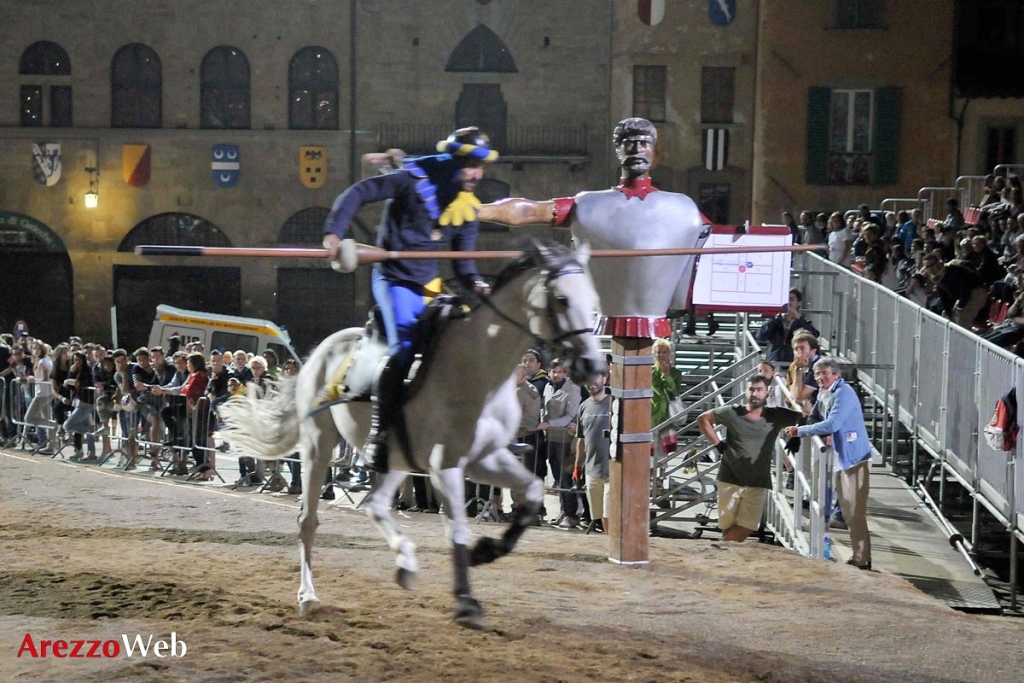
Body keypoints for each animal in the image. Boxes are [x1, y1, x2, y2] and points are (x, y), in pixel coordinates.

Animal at [216, 241, 598, 630]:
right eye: (563, 299)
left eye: (594, 301)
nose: (592, 366)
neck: (481, 366)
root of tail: (318, 352)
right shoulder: (446, 465)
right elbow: (457, 530)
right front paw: (466, 601)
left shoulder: (485, 458)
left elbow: (533, 491)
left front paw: (485, 551)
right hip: (318, 445)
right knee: (308, 520)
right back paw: (308, 596)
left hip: (395, 457)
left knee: (376, 504)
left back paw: (405, 562)